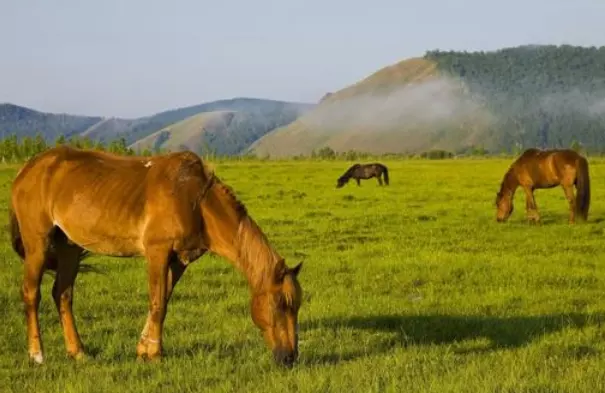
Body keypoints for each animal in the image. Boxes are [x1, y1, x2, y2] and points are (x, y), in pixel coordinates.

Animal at [8, 145, 302, 366]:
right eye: (280, 304)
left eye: (295, 306)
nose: (289, 357)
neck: (196, 201)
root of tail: (27, 169)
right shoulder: (157, 252)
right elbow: (158, 302)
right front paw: (156, 354)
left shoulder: (179, 260)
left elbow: (164, 301)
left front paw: (144, 350)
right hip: (37, 244)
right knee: (31, 294)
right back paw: (37, 355)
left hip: (69, 246)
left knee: (63, 294)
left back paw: (78, 352)